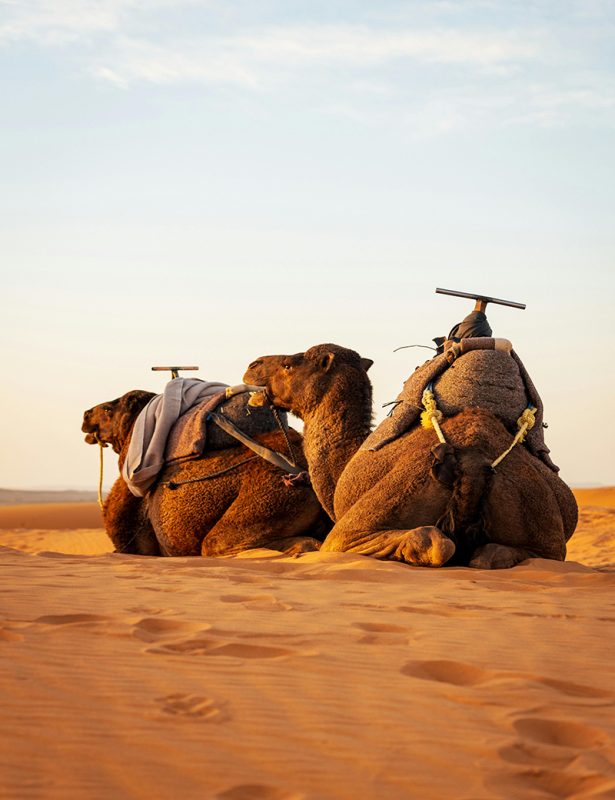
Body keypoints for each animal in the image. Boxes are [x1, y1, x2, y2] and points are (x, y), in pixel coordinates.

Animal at [244, 344, 578, 569]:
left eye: (289, 365)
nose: (253, 364)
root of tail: (473, 461)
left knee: (432, 542)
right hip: (542, 528)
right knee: (496, 556)